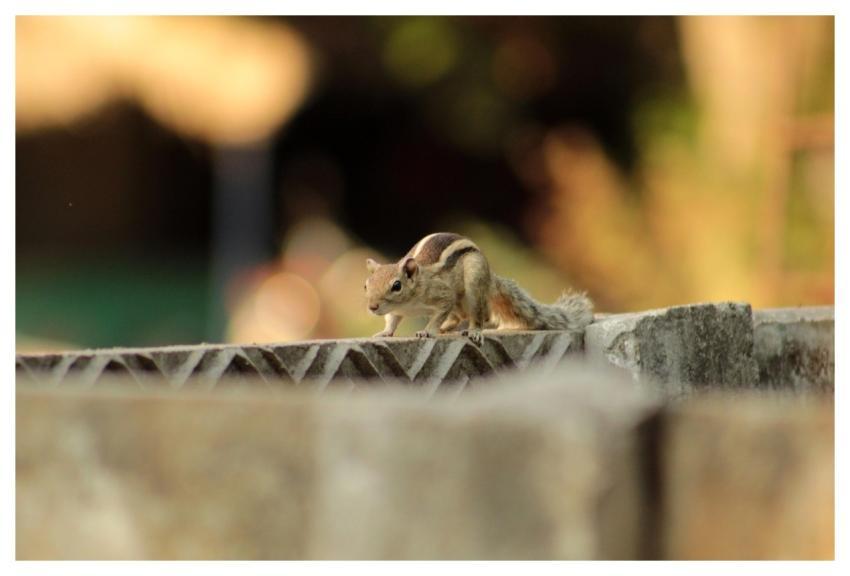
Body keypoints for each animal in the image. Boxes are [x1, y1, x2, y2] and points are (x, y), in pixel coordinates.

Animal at [364, 232, 593, 345]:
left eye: (396, 286)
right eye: (366, 285)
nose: (372, 307)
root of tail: (491, 277)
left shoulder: (443, 296)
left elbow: (439, 312)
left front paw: (428, 331)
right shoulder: (396, 310)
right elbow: (392, 320)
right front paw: (384, 332)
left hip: (473, 284)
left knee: (480, 316)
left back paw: (473, 331)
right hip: (461, 301)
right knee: (457, 317)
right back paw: (446, 328)